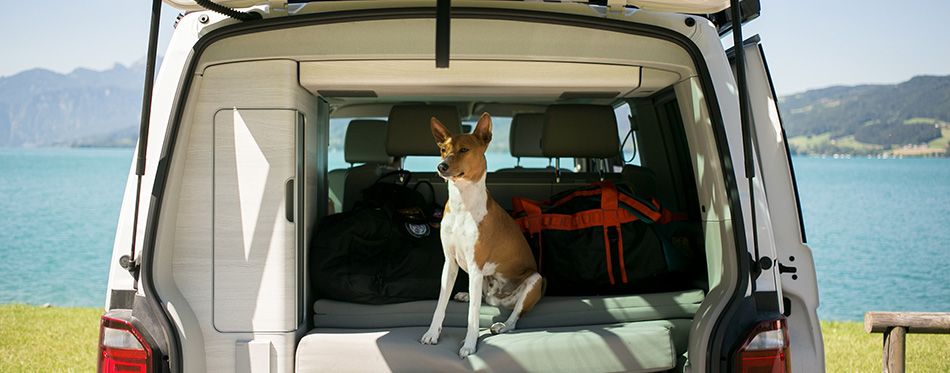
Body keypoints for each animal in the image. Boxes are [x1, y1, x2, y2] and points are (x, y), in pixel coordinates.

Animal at [422, 111, 548, 358]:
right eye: (443, 149)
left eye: (464, 150)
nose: (441, 166)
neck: (462, 204)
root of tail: (500, 298)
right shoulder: (450, 262)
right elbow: (440, 304)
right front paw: (432, 333)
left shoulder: (475, 264)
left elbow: (473, 315)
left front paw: (470, 345)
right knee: (481, 297)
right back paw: (466, 295)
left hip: (534, 280)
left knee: (513, 318)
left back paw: (501, 324)